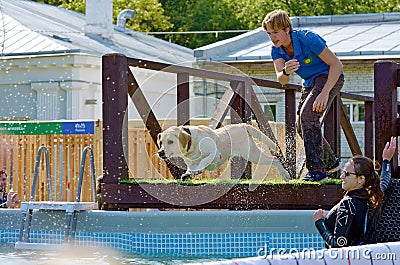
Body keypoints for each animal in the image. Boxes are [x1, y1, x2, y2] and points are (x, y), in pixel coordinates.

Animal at [156, 122, 288, 180]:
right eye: (161, 142)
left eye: (170, 141)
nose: (160, 152)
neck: (192, 143)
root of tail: (243, 125)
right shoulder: (191, 163)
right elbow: (191, 169)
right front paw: (189, 174)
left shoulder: (215, 154)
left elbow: (203, 161)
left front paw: (199, 168)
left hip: (252, 154)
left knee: (274, 159)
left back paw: (285, 175)